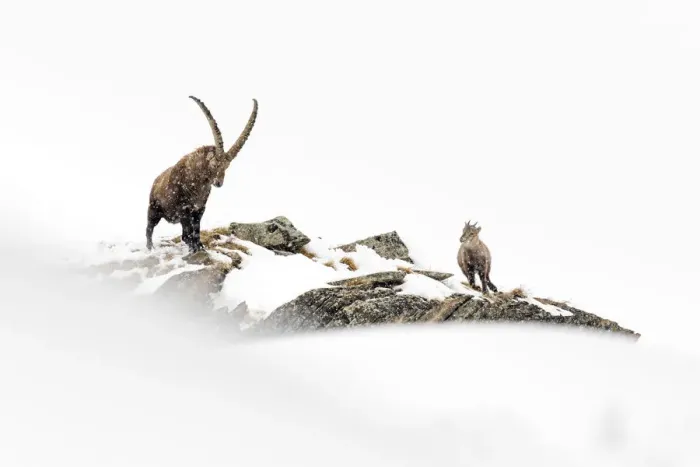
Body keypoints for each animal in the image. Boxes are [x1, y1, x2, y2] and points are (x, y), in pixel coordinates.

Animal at [146, 96, 258, 253]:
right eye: (214, 164)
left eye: (227, 166)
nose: (218, 183)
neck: (197, 185)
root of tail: (155, 180)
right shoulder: (184, 210)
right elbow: (187, 235)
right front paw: (195, 248)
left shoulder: (199, 209)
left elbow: (196, 232)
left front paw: (200, 247)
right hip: (154, 209)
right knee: (149, 228)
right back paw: (150, 247)